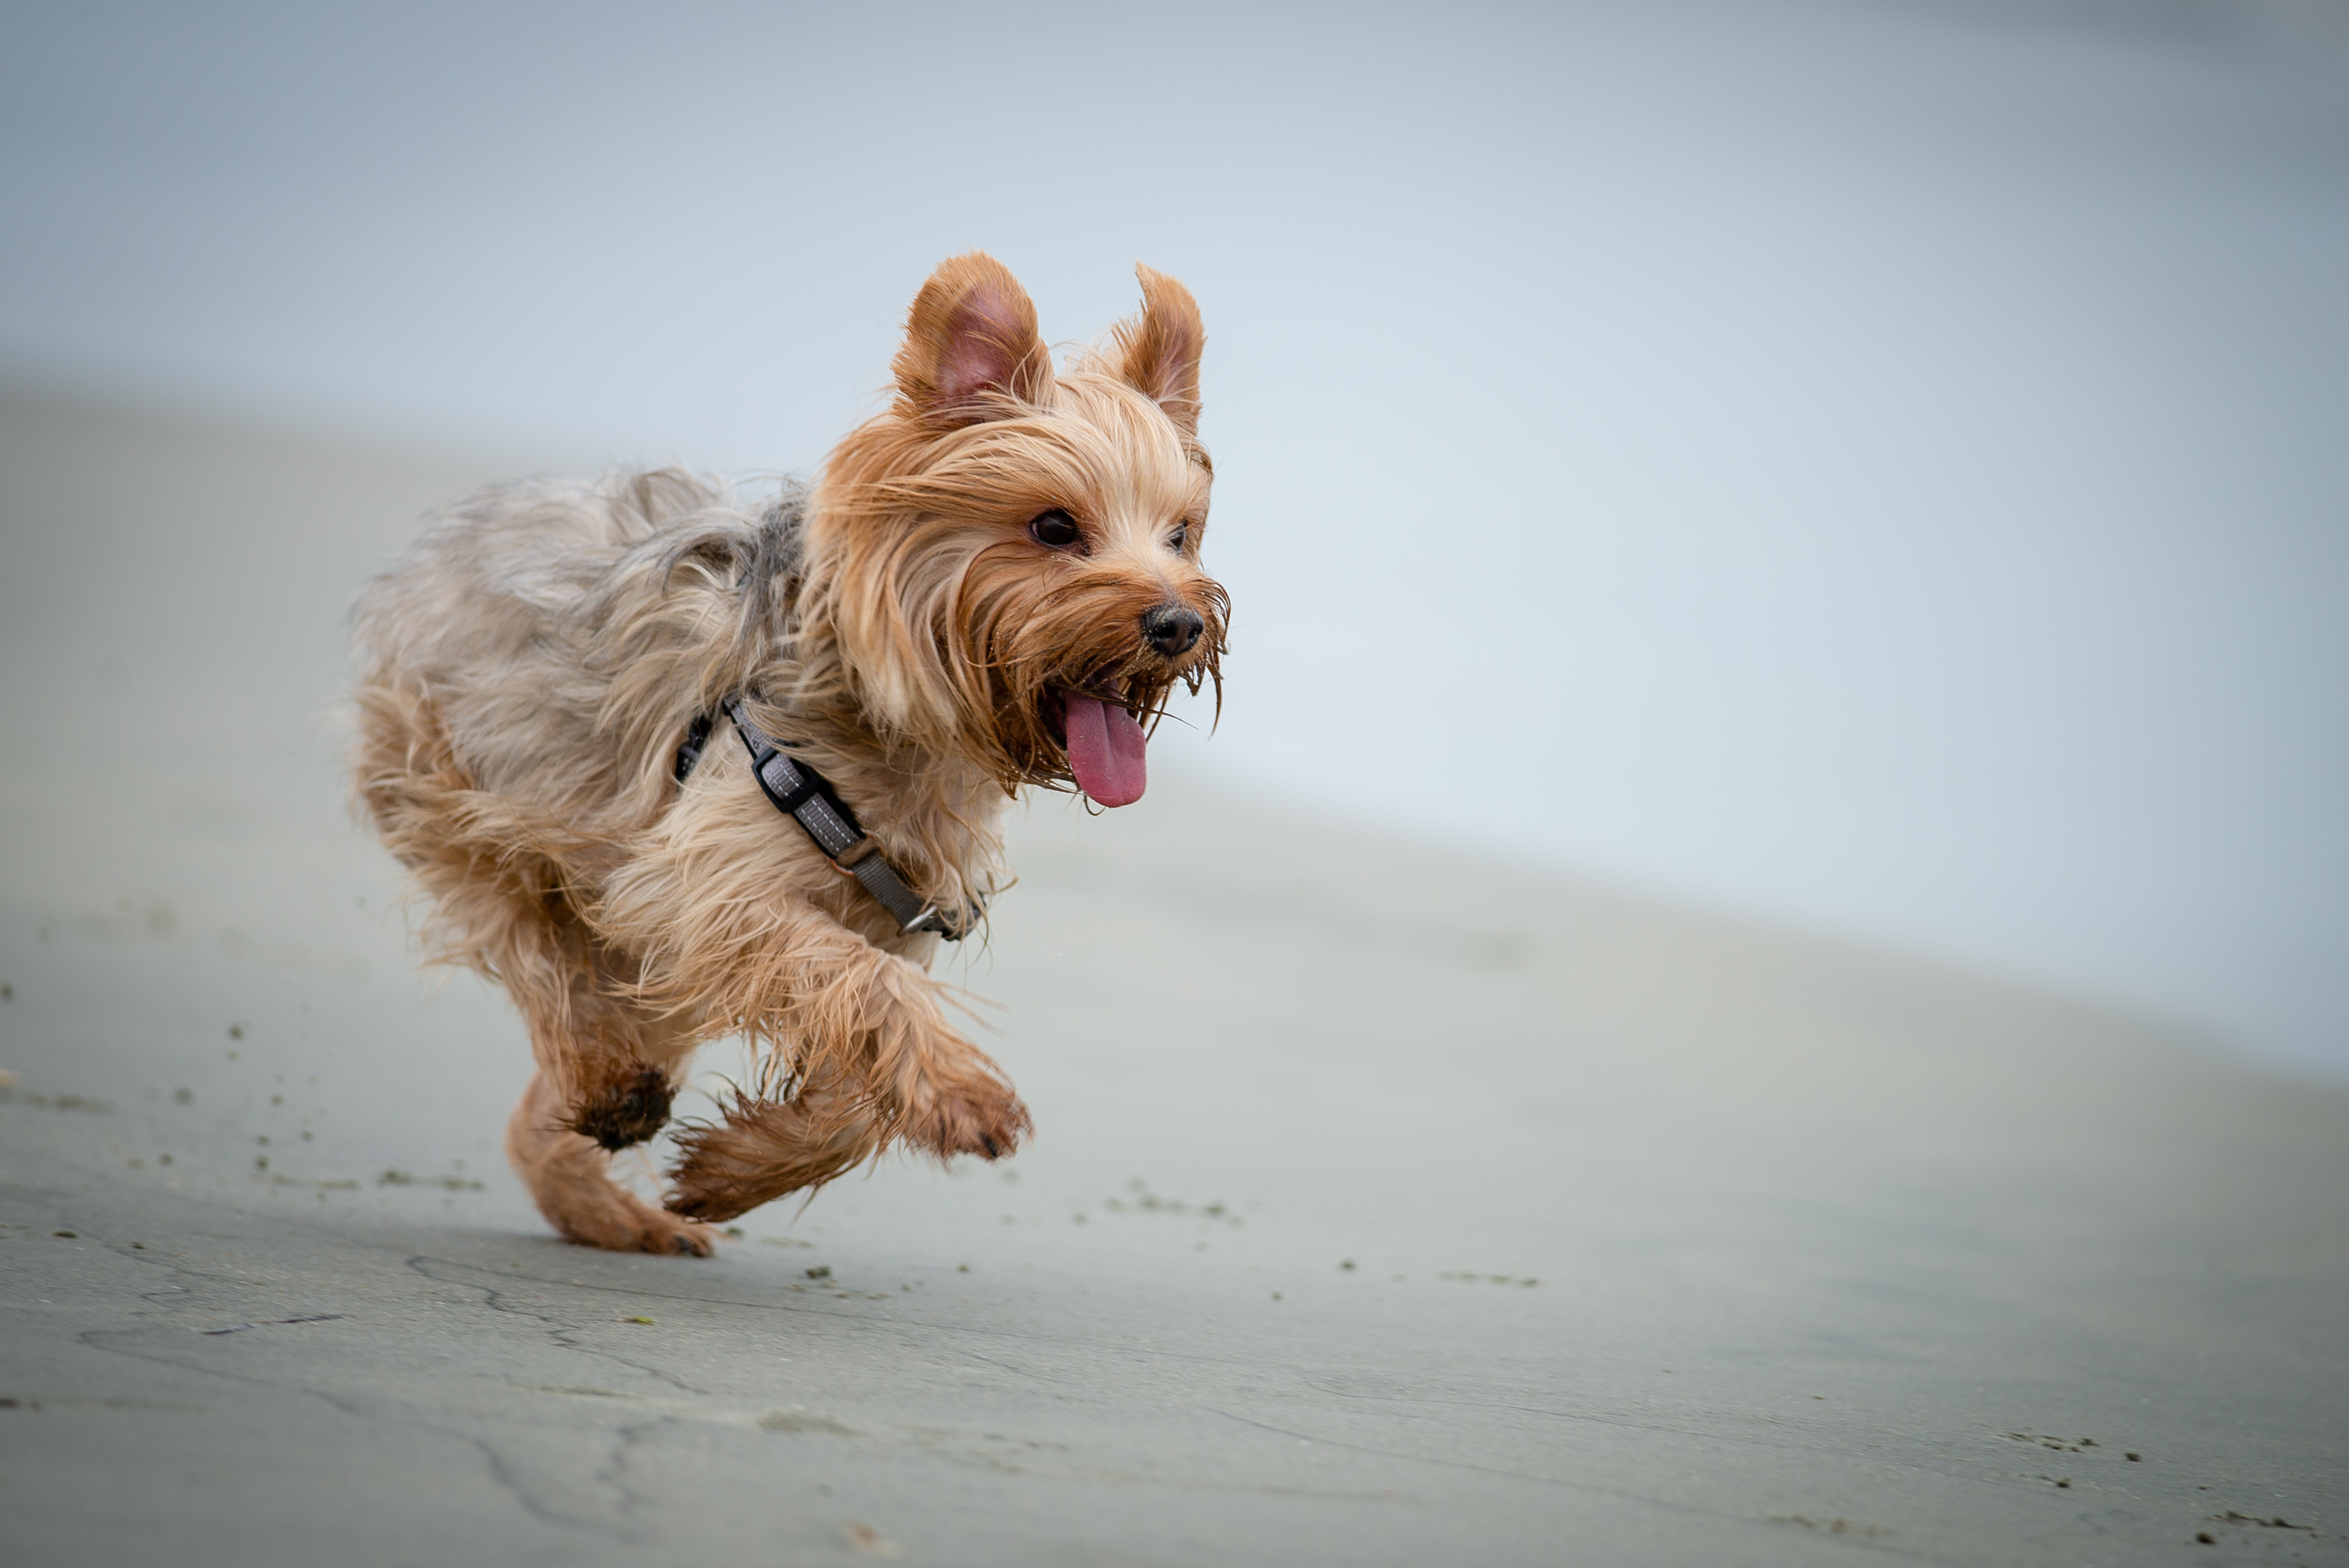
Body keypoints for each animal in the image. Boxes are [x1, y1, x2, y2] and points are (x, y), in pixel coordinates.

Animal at [357, 261, 1231, 1260]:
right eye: (1053, 527)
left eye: (1180, 535)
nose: (1179, 623)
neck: (901, 730)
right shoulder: (708, 878)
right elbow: (862, 982)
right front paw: (965, 1094)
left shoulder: (879, 913)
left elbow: (853, 1082)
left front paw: (734, 1170)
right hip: (463, 780)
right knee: (540, 947)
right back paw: (604, 1076)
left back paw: (603, 1198)